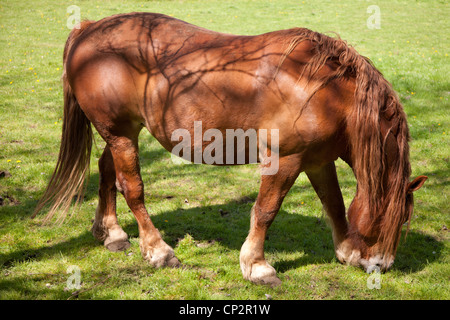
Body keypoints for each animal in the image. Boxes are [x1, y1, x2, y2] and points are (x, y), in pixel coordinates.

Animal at [31, 13, 426, 288]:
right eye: (391, 219)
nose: (381, 266)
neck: (324, 89)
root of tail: (89, 29)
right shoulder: (284, 160)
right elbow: (266, 211)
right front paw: (257, 267)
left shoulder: (317, 161)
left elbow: (334, 203)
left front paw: (344, 250)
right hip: (120, 134)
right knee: (132, 189)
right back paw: (158, 250)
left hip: (121, 134)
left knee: (106, 172)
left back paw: (111, 234)